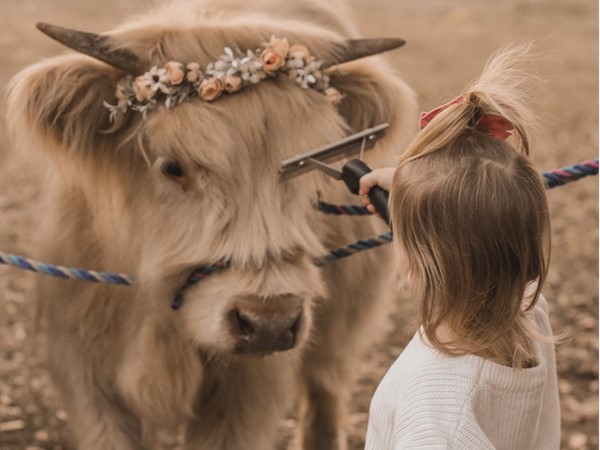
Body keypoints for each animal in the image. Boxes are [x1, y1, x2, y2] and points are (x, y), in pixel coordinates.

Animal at [5, 0, 418, 448]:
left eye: (310, 180)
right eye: (173, 167)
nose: (269, 324)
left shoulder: (245, 392)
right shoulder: (89, 376)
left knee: (324, 393)